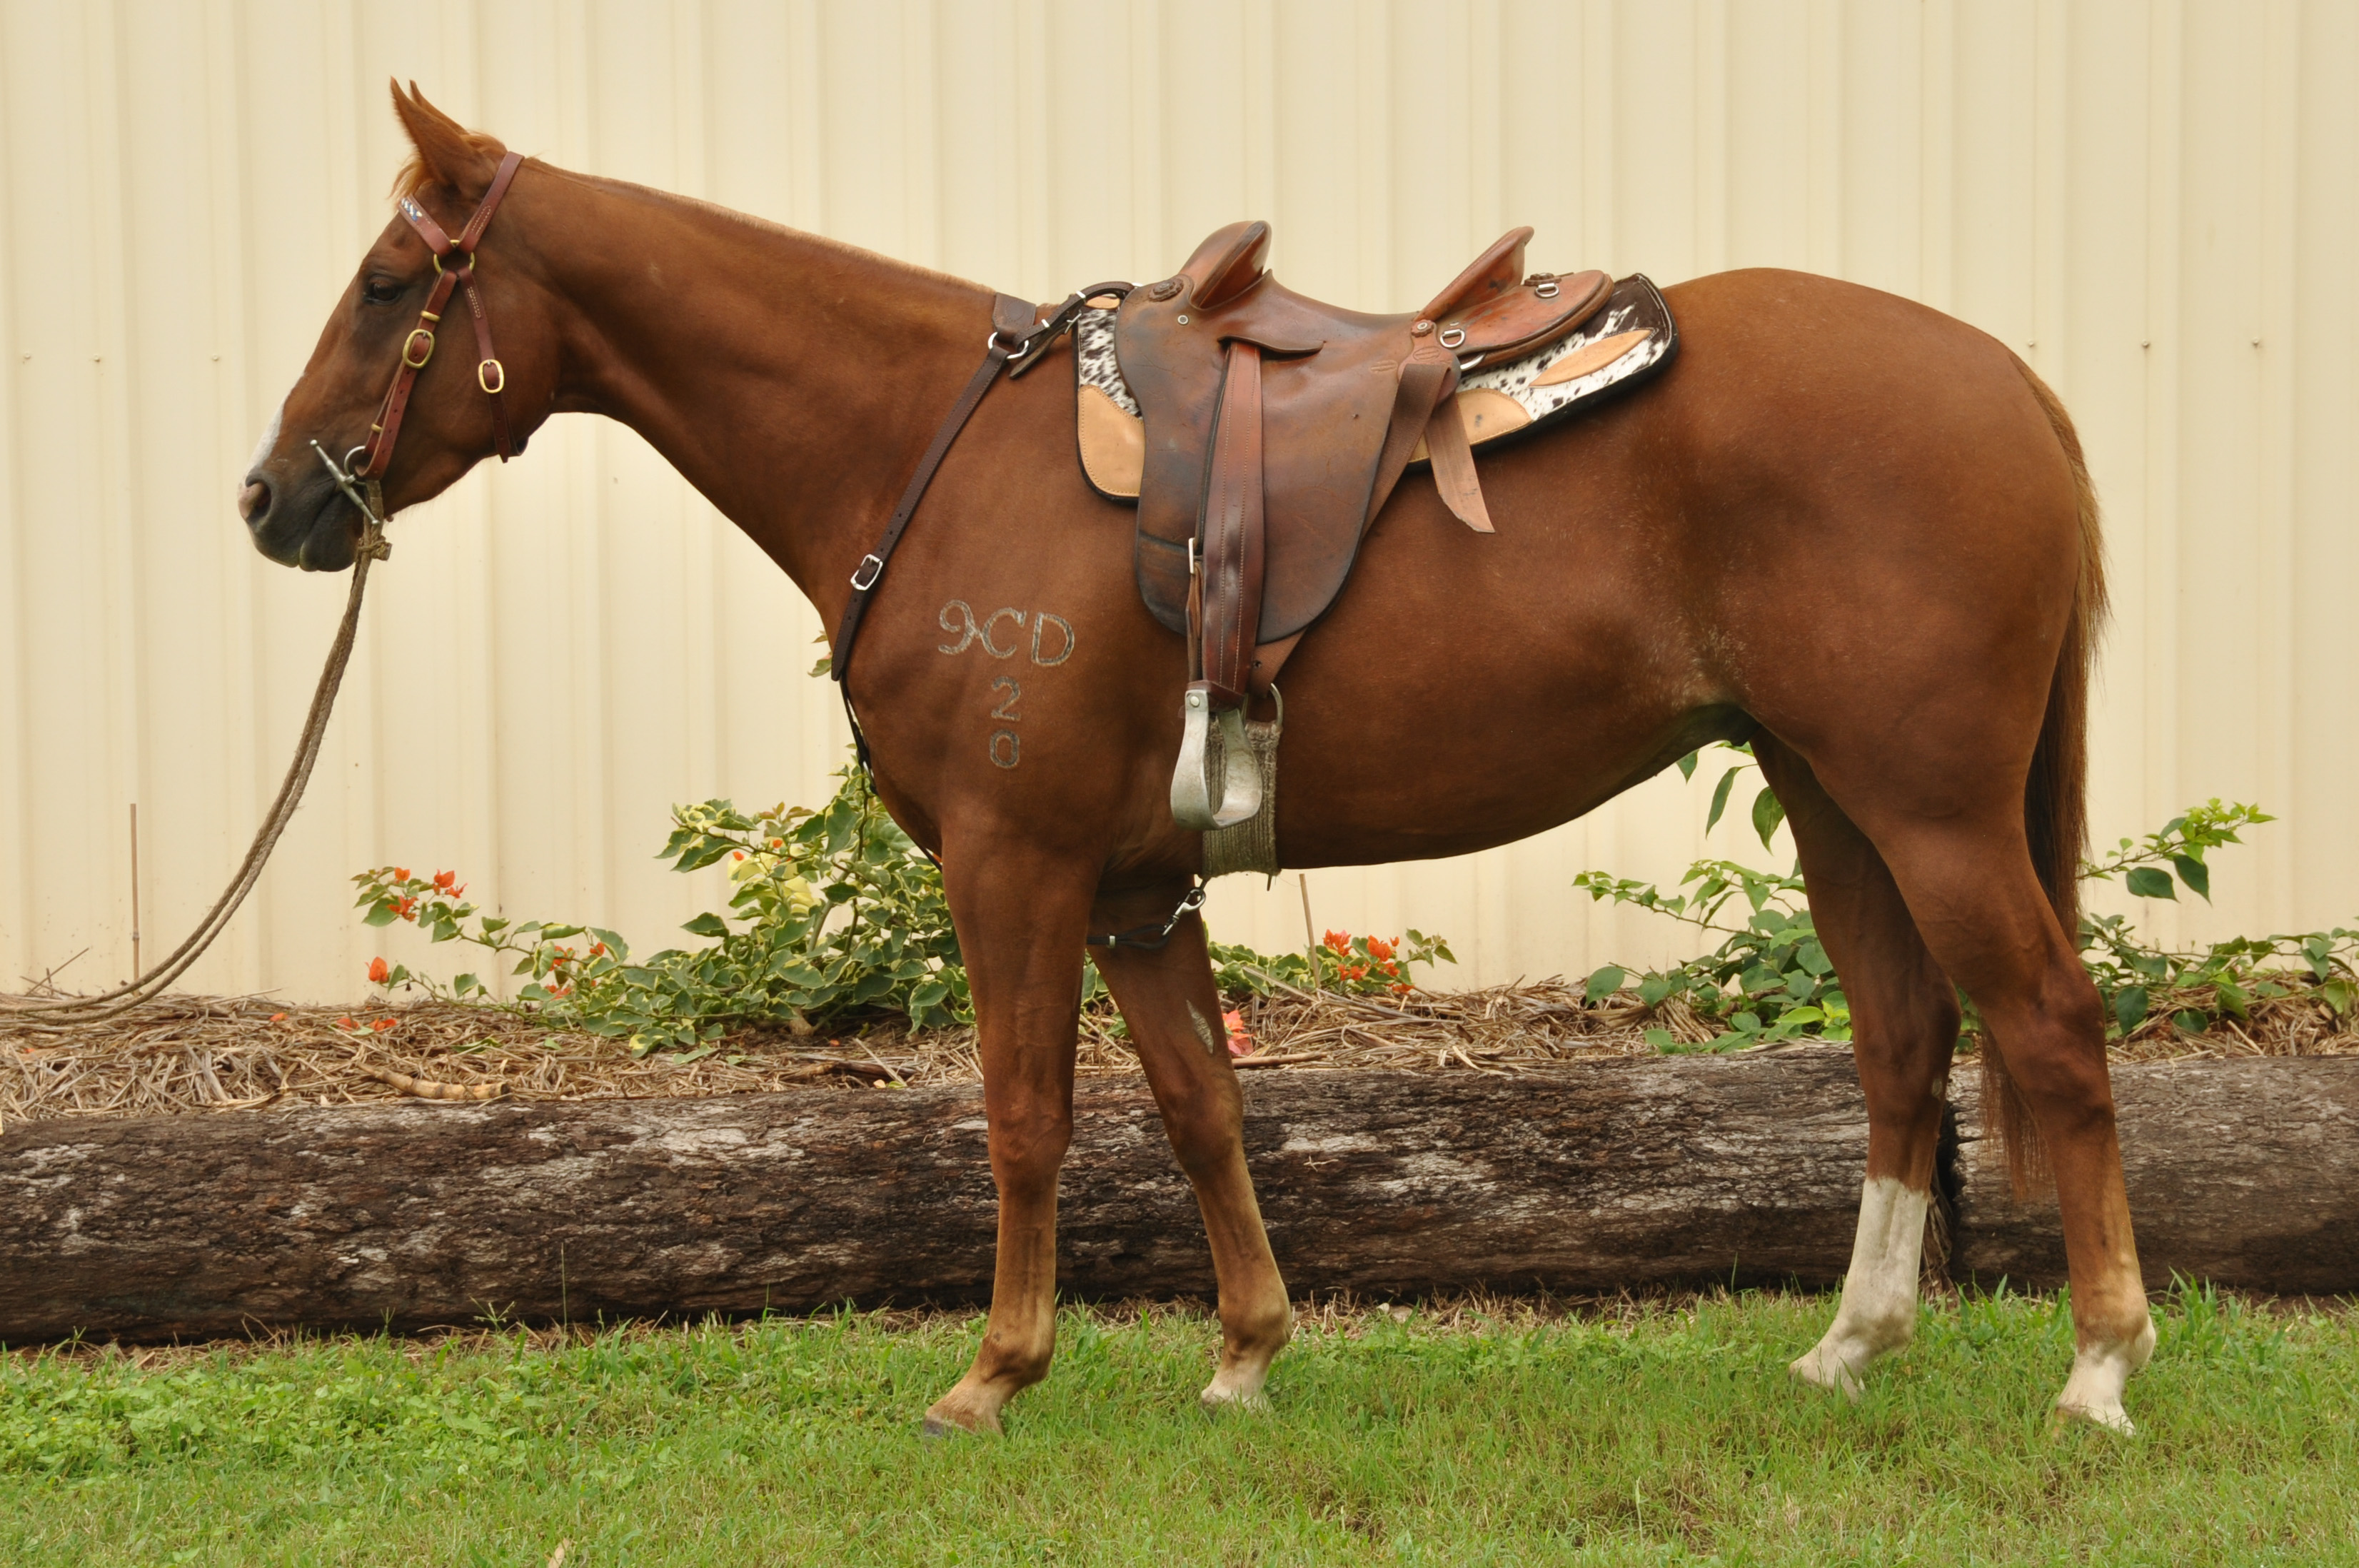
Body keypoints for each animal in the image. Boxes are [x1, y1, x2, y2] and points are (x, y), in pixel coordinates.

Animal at [239, 84, 2152, 1437]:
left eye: (393, 284)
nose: (271, 501)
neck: (928, 442)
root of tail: (2014, 390)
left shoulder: (1011, 864)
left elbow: (1025, 1114)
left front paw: (993, 1372)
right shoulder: (1135, 888)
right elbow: (1196, 1104)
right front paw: (1243, 1351)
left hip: (1932, 808)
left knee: (2051, 1028)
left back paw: (2099, 1366)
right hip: (1835, 797)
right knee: (1901, 1040)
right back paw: (1848, 1345)